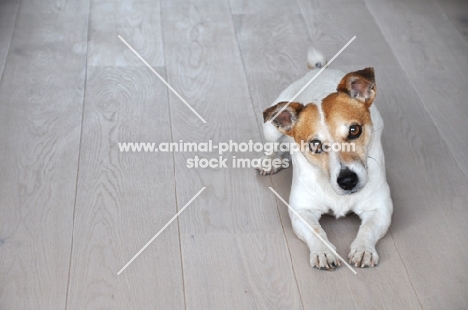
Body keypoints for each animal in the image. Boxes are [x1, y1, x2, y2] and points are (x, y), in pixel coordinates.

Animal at [258, 47, 394, 268]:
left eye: (354, 130)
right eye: (315, 144)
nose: (347, 180)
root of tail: (318, 70)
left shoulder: (380, 208)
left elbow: (367, 228)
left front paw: (363, 249)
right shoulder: (302, 210)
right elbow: (316, 231)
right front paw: (323, 251)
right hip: (270, 128)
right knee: (272, 145)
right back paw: (270, 161)